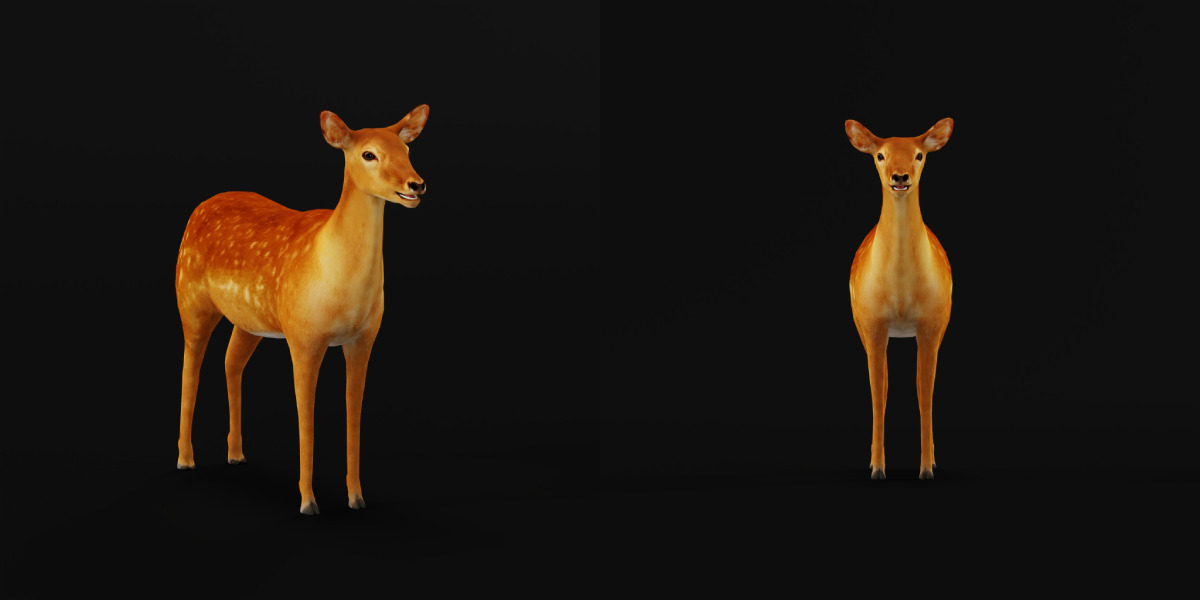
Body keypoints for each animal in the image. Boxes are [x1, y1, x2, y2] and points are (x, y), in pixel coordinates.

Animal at [175, 105, 430, 514]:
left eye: (406, 149)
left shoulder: (364, 339)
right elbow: (306, 417)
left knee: (231, 362)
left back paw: (236, 453)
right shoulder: (303, 336)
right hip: (191, 299)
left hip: (250, 321)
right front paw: (308, 501)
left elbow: (353, 413)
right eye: (368, 154)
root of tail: (201, 206)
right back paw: (186, 459)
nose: (416, 185)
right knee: (190, 367)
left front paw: (356, 497)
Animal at [845, 117, 953, 480]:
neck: (902, 293)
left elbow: (925, 394)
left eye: (919, 154)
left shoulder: (931, 328)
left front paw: (927, 468)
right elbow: (879, 393)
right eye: (880, 155)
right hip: (861, 327)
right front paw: (878, 468)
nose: (900, 176)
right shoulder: (874, 327)